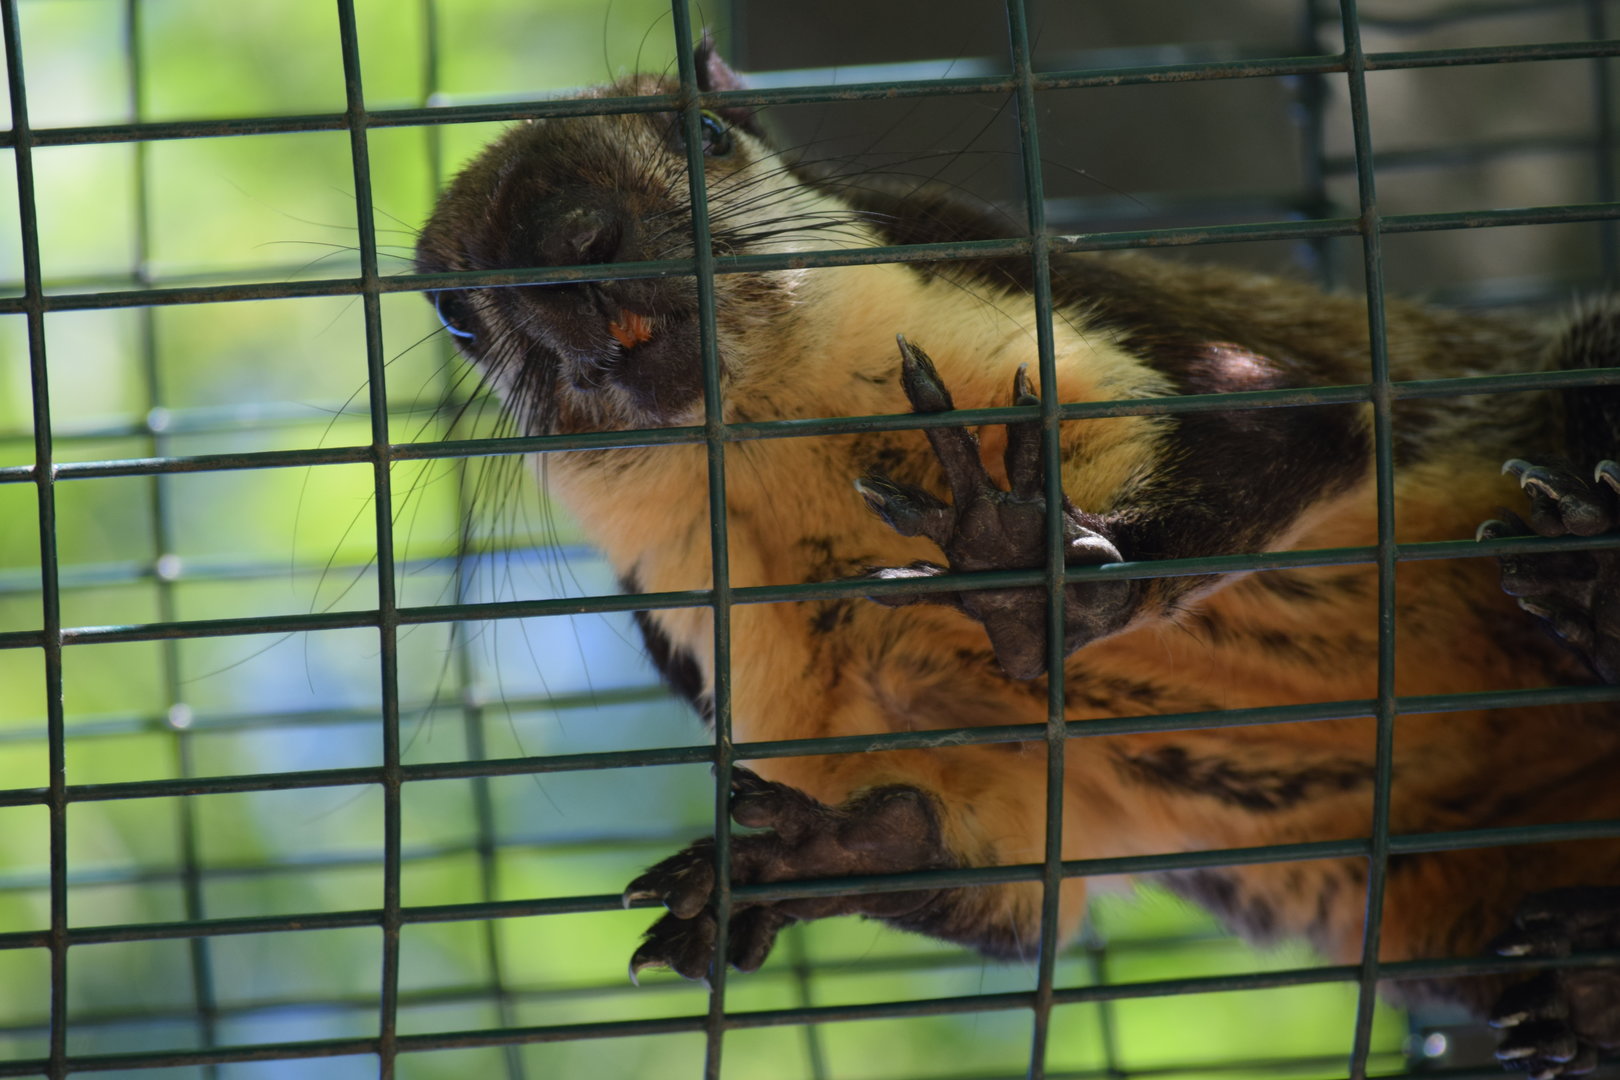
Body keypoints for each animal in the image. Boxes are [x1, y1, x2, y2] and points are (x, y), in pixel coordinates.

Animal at [414, 42, 1620, 1077]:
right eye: (453, 314)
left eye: (706, 134)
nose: (574, 236)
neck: (767, 445)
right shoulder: (709, 618)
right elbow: (995, 883)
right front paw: (787, 861)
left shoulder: (1062, 311)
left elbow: (1275, 431)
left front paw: (1016, 564)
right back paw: (1580, 989)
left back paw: (1586, 585)